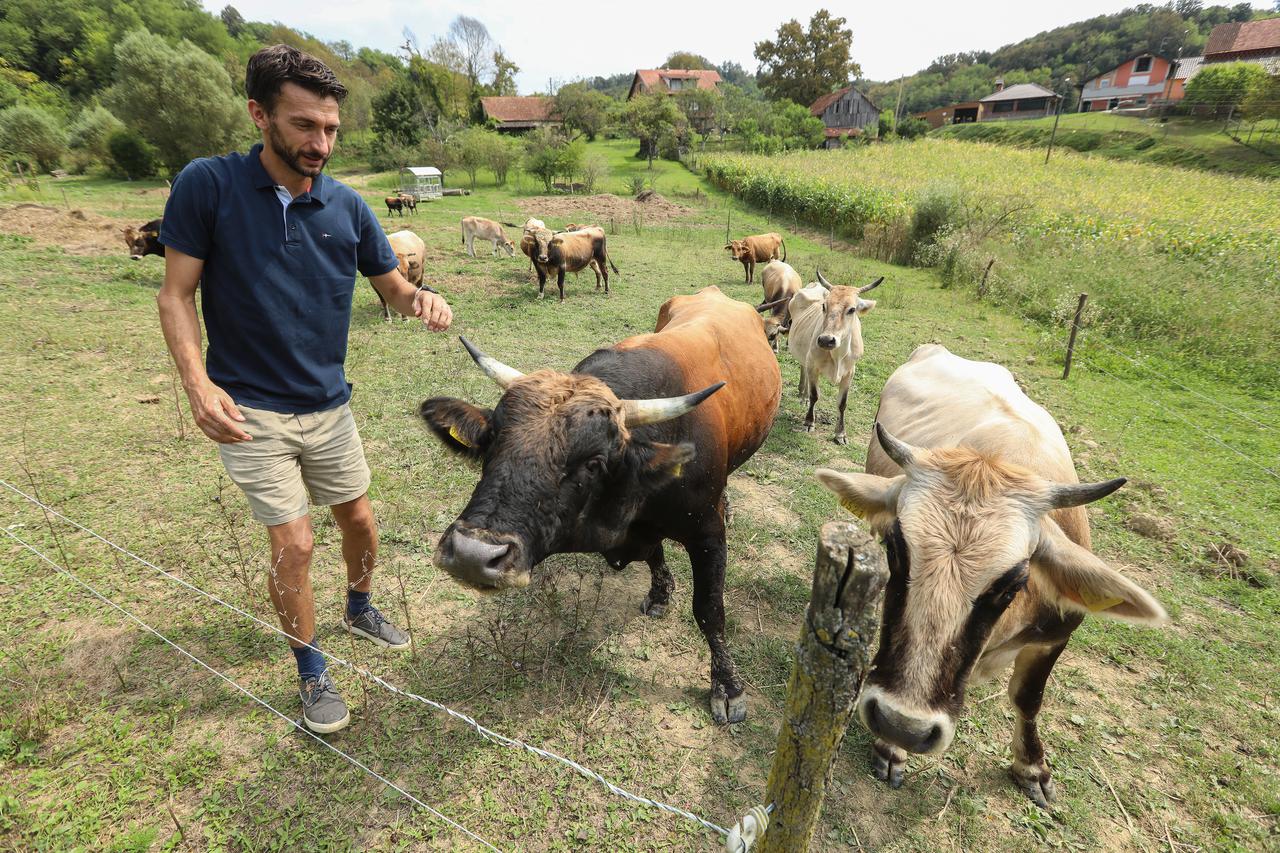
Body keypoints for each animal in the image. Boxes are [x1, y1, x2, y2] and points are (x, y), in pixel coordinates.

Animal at [422, 285, 778, 717]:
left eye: (594, 463)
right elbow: (656, 555)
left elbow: (710, 611)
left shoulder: (708, 534)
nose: (472, 554)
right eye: (492, 439)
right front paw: (660, 593)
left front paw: (727, 686)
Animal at [783, 270, 885, 445]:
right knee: (804, 369)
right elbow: (815, 395)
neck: (838, 354)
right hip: (806, 357)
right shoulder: (813, 365)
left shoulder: (850, 372)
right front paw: (809, 422)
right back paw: (803, 395)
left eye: (852, 309)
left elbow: (842, 403)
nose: (826, 340)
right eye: (824, 306)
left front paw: (840, 434)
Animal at [814, 343, 1167, 804]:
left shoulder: (1054, 638)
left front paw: (1031, 766)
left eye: (1013, 584)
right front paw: (892, 747)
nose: (901, 724)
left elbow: (1029, 699)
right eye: (895, 550)